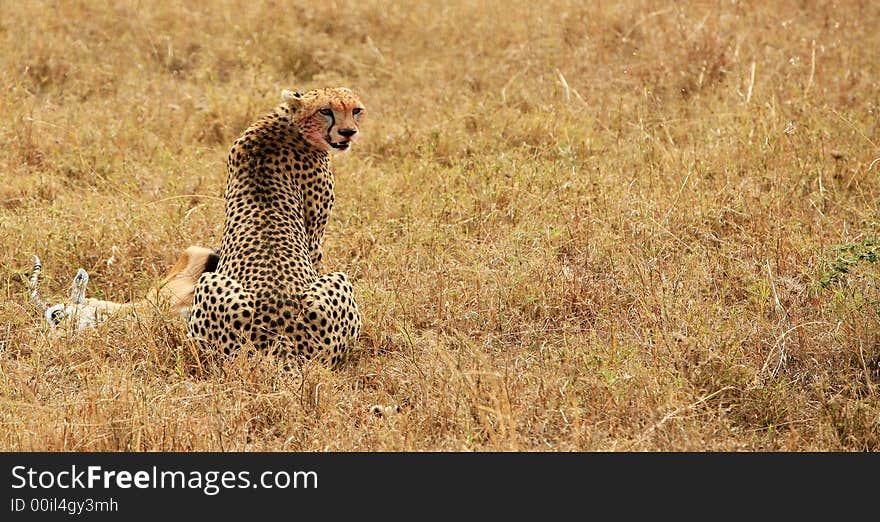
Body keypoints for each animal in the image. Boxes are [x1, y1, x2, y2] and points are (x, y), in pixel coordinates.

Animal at [186, 86, 364, 366]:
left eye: (355, 110)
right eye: (325, 111)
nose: (349, 132)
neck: (289, 124)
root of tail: (279, 339)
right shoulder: (314, 235)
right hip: (336, 281)